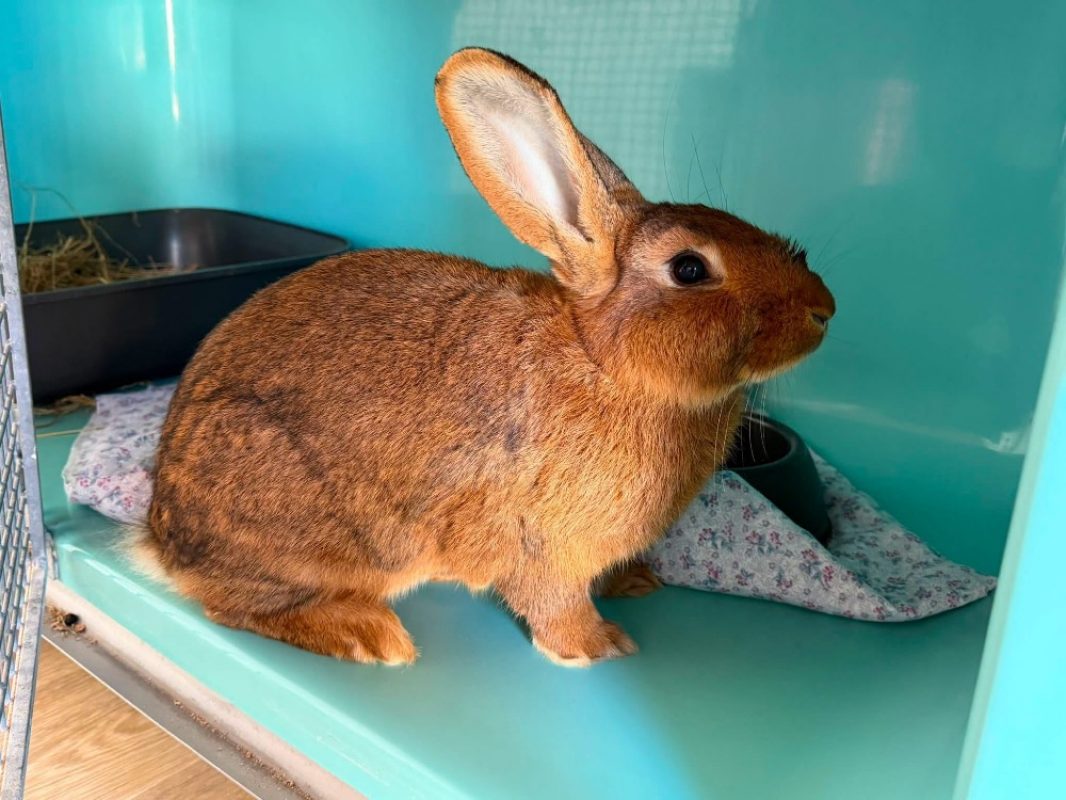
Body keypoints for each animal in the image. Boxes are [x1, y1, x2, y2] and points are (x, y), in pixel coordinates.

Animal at [136, 47, 835, 667]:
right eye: (689, 269)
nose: (824, 308)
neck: (604, 362)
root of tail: (161, 539)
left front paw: (633, 583)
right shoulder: (542, 542)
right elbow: (555, 601)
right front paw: (597, 647)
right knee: (235, 605)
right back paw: (369, 635)